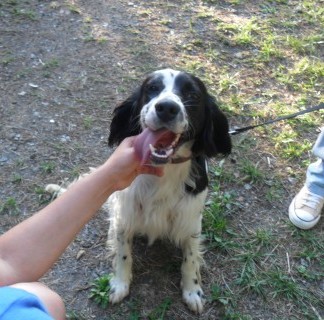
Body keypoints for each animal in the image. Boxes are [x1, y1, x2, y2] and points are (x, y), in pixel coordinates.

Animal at [107, 68, 230, 312]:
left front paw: (192, 290)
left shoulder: (191, 221)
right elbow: (123, 252)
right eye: (152, 88)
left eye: (192, 94)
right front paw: (120, 283)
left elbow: (190, 258)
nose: (166, 108)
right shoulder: (124, 216)